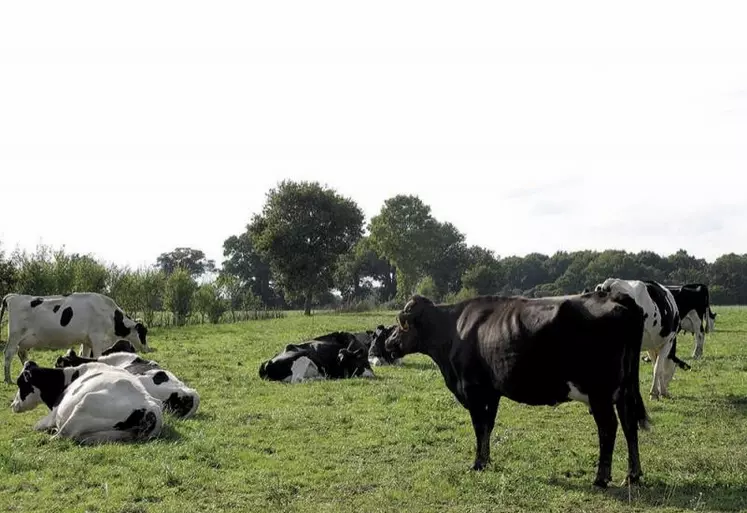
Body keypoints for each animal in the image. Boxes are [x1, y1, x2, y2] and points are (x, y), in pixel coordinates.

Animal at [0, 292, 149, 384]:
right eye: (143, 333)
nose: (147, 349)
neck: (111, 316)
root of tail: (13, 296)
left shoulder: (87, 341)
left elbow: (85, 356)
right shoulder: (97, 340)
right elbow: (98, 357)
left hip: (24, 341)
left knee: (22, 354)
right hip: (14, 337)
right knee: (8, 354)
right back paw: (8, 379)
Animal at [10, 360, 163, 444]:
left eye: (20, 384)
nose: (13, 405)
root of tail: (150, 408)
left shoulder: (54, 413)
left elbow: (36, 426)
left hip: (84, 405)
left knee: (60, 436)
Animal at [382, 294, 652, 486]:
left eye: (400, 325)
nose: (387, 343)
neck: (454, 329)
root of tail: (617, 297)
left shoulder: (472, 389)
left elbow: (479, 426)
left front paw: (477, 463)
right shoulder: (491, 392)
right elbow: (488, 427)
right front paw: (486, 461)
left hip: (599, 394)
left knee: (609, 428)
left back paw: (601, 478)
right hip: (624, 390)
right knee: (629, 424)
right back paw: (633, 474)